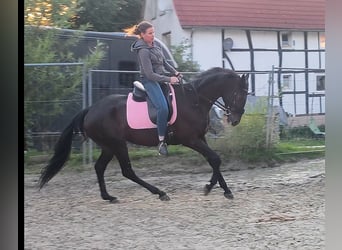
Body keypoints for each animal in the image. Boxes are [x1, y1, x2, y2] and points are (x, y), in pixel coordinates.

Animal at [38, 67, 248, 202]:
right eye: (239, 94)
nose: (235, 120)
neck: (194, 99)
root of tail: (90, 109)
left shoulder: (200, 138)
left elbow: (214, 161)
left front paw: (220, 188)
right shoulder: (190, 140)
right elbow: (215, 158)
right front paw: (215, 188)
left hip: (109, 146)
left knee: (99, 167)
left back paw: (108, 196)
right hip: (117, 144)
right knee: (127, 171)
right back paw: (160, 193)